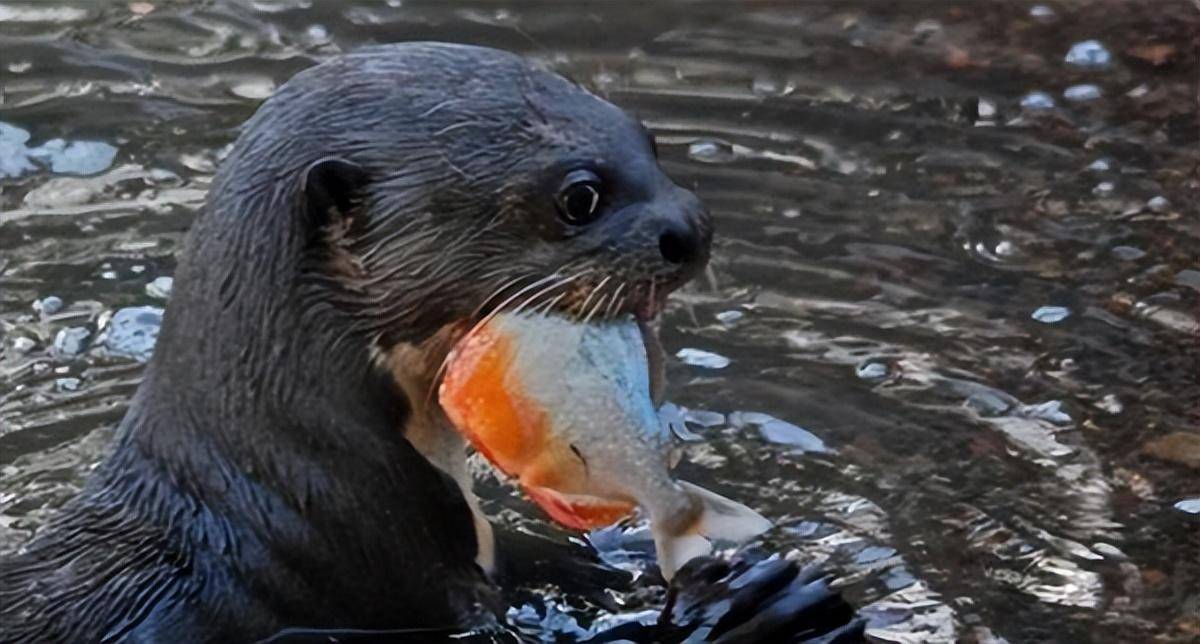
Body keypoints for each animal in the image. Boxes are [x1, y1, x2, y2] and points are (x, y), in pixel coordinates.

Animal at [0, 42, 864, 638]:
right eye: (579, 195)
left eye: (646, 140)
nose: (693, 228)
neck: (299, 496)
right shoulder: (388, 580)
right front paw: (756, 608)